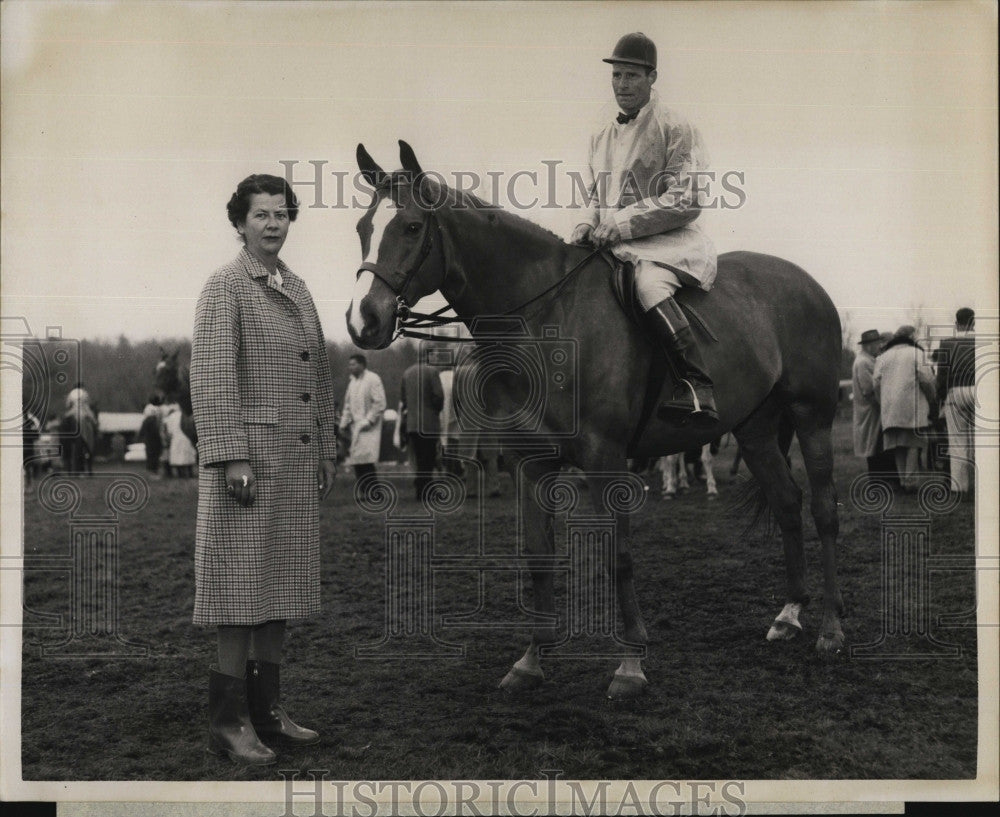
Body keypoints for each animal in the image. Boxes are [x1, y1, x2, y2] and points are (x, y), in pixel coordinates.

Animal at [346, 143, 844, 700]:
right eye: (364, 227)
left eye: (411, 227)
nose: (364, 320)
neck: (545, 320)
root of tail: (804, 282)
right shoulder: (531, 463)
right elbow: (539, 556)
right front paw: (531, 660)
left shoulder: (607, 460)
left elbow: (618, 557)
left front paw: (630, 664)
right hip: (755, 430)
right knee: (787, 502)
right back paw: (789, 614)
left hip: (812, 417)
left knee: (823, 510)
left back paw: (830, 630)